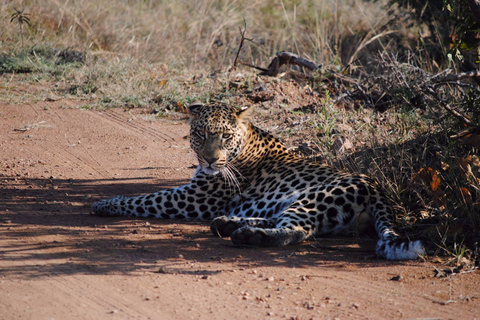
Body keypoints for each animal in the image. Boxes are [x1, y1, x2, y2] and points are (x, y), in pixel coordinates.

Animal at [93, 102, 424, 260]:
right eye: (200, 134)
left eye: (224, 136)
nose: (210, 159)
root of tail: (379, 190)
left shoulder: (195, 198)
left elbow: (148, 197)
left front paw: (106, 203)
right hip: (300, 203)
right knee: (281, 220)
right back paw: (228, 224)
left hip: (315, 198)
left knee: (296, 231)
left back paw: (247, 235)